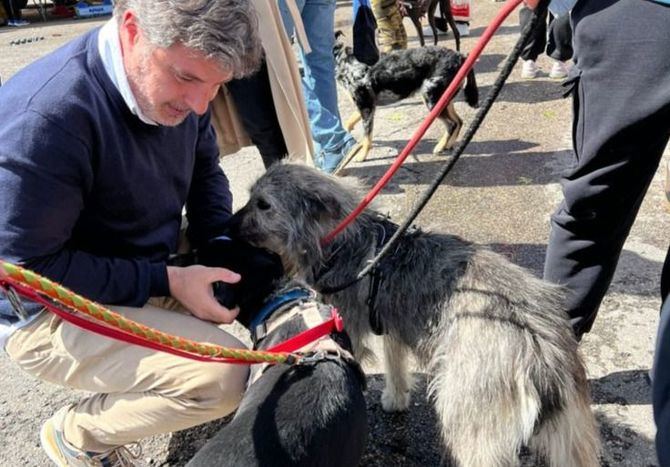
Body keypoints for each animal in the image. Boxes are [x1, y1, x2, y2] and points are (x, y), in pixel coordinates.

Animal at [231, 165, 604, 467]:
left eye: (263, 205)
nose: (230, 224)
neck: (344, 241)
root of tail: (540, 349)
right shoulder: (390, 323)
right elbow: (394, 362)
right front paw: (395, 398)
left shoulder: (350, 327)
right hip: (571, 435)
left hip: (471, 425)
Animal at [334, 33, 480, 172]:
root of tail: (460, 56)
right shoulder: (365, 107)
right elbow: (348, 123)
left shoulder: (366, 108)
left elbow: (367, 137)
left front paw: (362, 155)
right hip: (444, 99)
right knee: (459, 121)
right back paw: (448, 145)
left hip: (431, 99)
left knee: (451, 124)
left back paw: (440, 147)